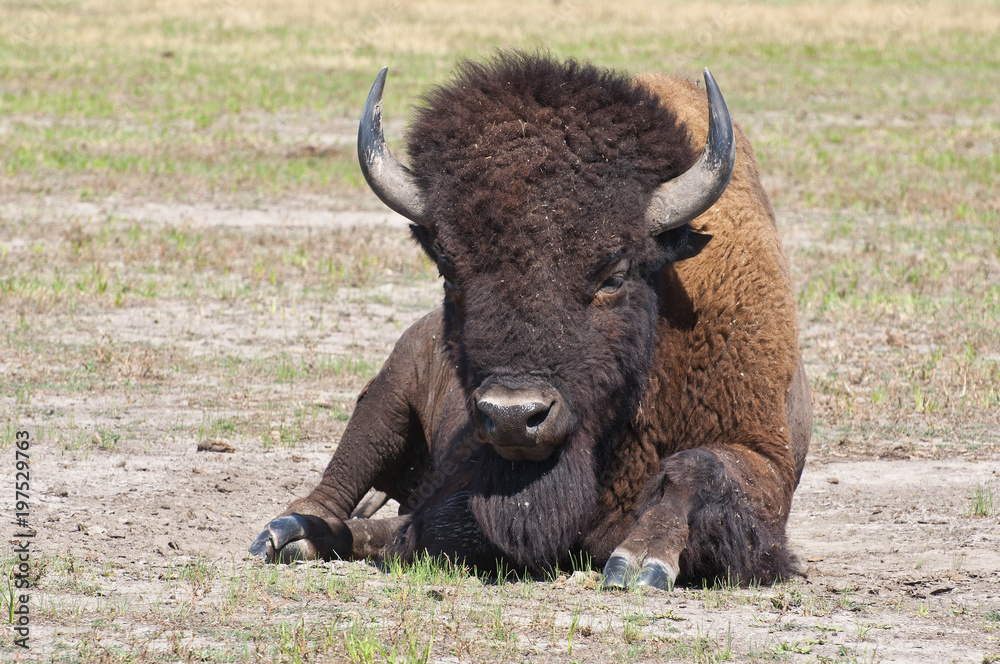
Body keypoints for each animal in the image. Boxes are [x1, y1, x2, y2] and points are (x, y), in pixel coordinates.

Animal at [252, 53, 812, 592]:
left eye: (613, 274)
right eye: (449, 271)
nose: (514, 416)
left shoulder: (765, 455)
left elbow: (700, 468)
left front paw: (640, 562)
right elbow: (441, 524)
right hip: (385, 400)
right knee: (337, 484)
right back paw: (289, 535)